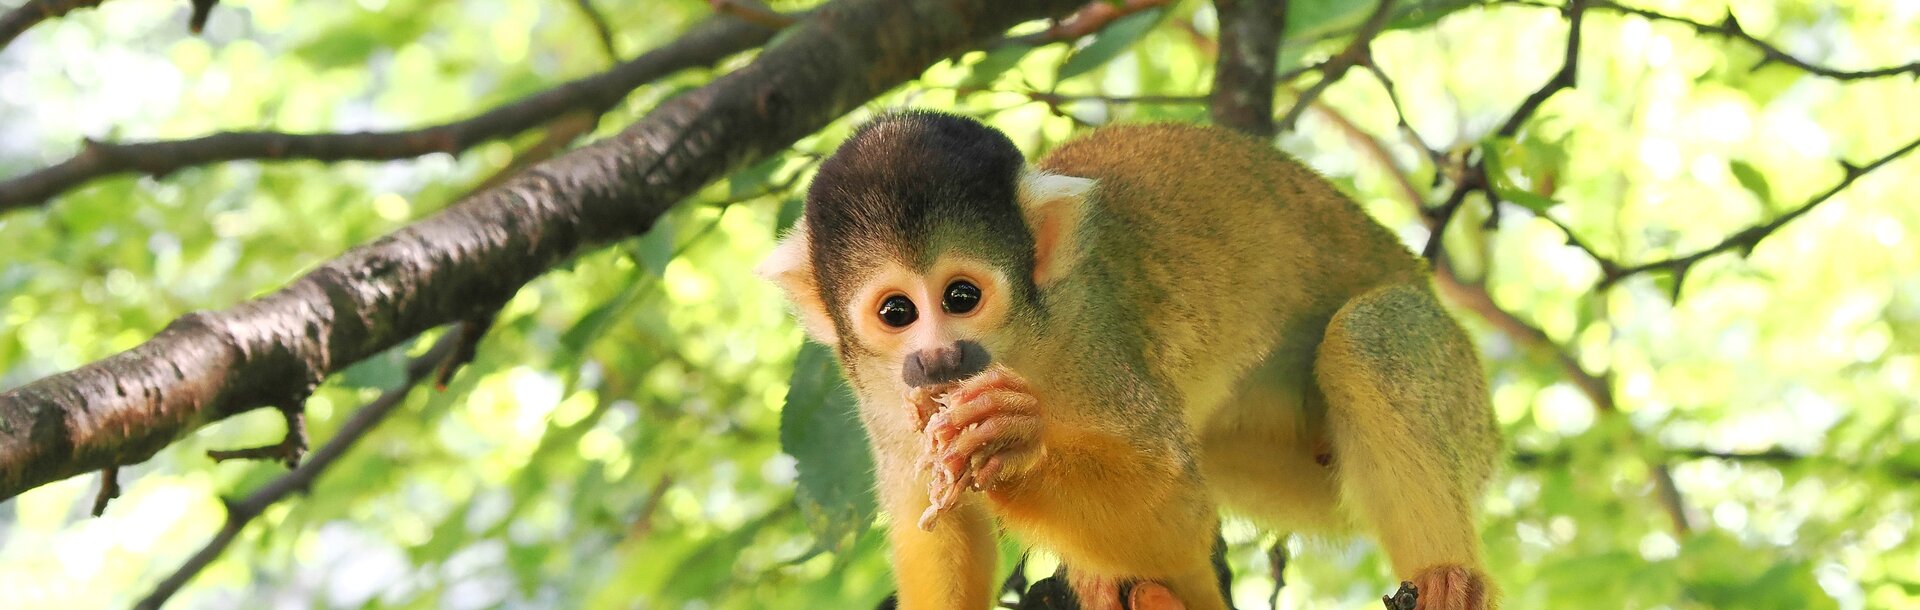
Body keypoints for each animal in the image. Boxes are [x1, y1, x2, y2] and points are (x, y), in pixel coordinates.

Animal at [760, 110, 1497, 610]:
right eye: (896, 312)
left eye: (961, 296)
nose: (940, 357)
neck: (1027, 347)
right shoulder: (885, 403)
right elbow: (941, 533)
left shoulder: (1094, 338)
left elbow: (1178, 509)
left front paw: (1013, 441)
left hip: (1461, 399)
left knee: (1369, 335)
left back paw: (1445, 578)